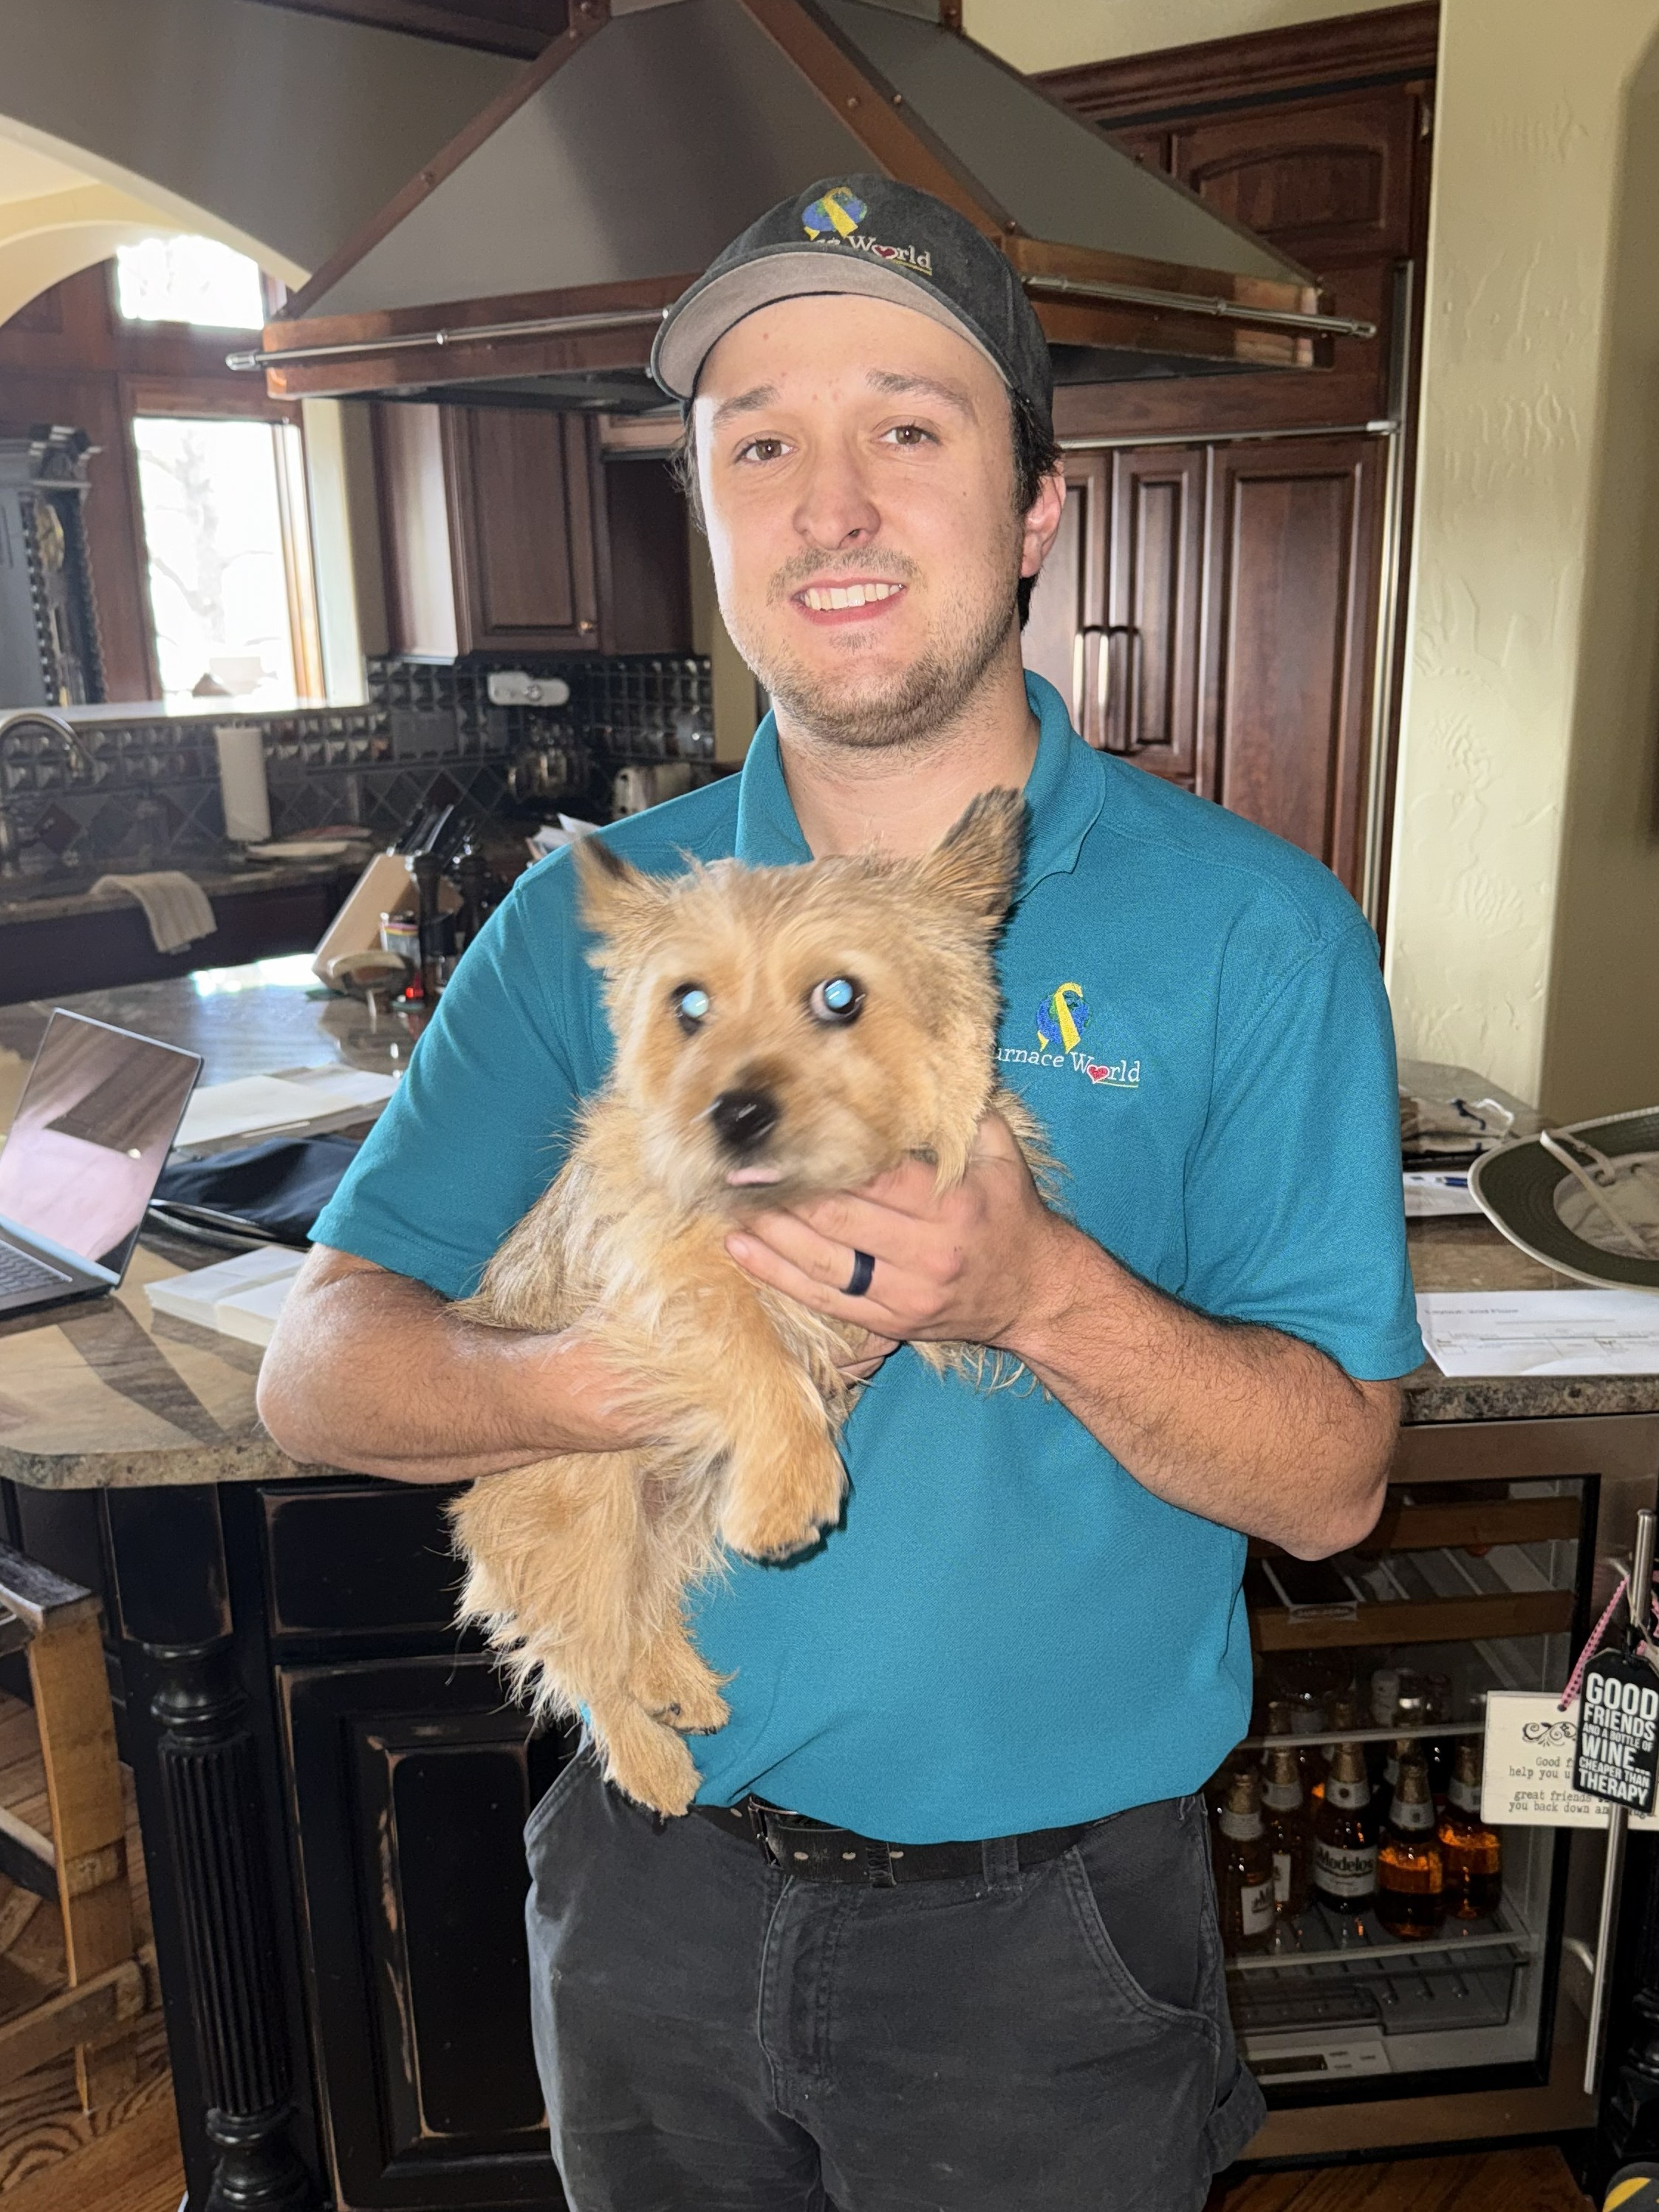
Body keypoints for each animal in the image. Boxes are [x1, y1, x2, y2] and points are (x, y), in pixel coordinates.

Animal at [450, 788, 1045, 1816]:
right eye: (688, 1004)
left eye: (839, 997)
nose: (732, 1113)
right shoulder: (660, 1282)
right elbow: (749, 1351)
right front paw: (789, 1484)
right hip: (584, 1504)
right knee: (582, 1645)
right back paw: (650, 1757)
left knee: (638, 1608)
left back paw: (674, 1682)